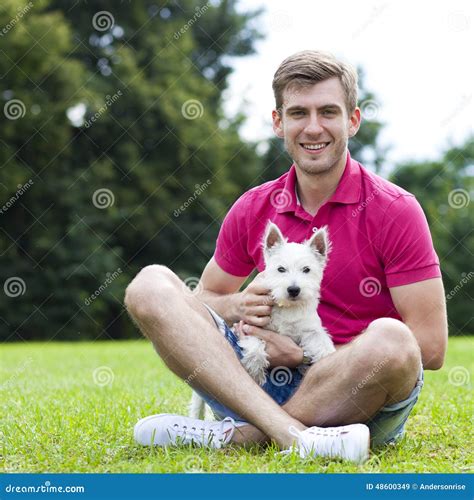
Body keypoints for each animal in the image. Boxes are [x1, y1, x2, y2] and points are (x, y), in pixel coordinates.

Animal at [187, 221, 336, 420]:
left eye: (307, 270)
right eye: (281, 269)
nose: (293, 289)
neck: (287, 307)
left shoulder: (311, 330)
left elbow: (323, 344)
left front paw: (329, 360)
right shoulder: (250, 325)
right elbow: (256, 347)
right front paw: (255, 371)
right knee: (198, 405)